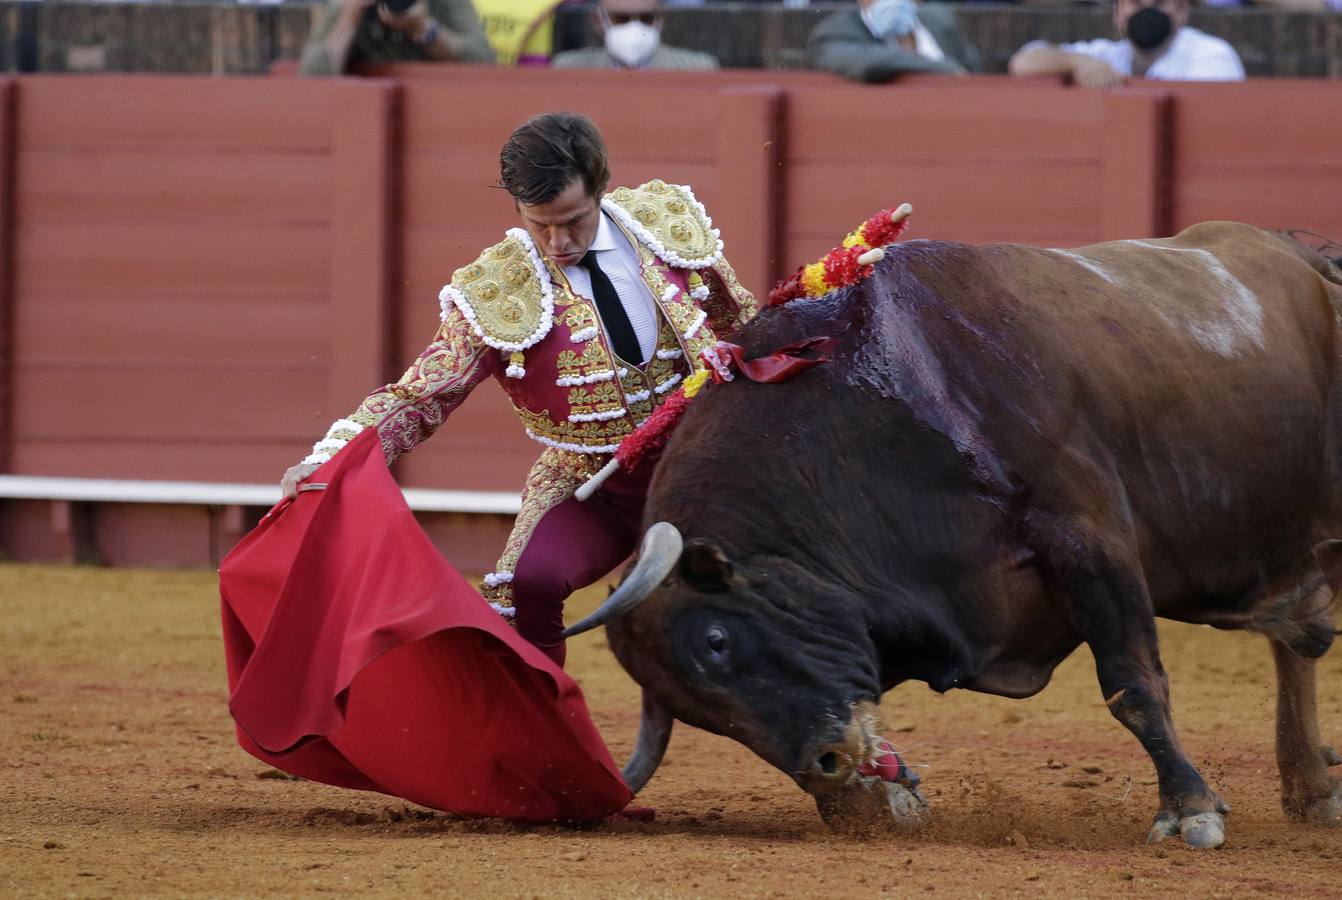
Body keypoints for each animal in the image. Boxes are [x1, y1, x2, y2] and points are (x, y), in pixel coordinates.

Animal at [560, 221, 1336, 847]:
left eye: (716, 642)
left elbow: (1133, 685)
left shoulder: (1090, 540)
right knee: (1296, 638)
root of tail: (1307, 257)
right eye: (699, 715)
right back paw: (1310, 788)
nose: (827, 767)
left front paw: (1188, 810)